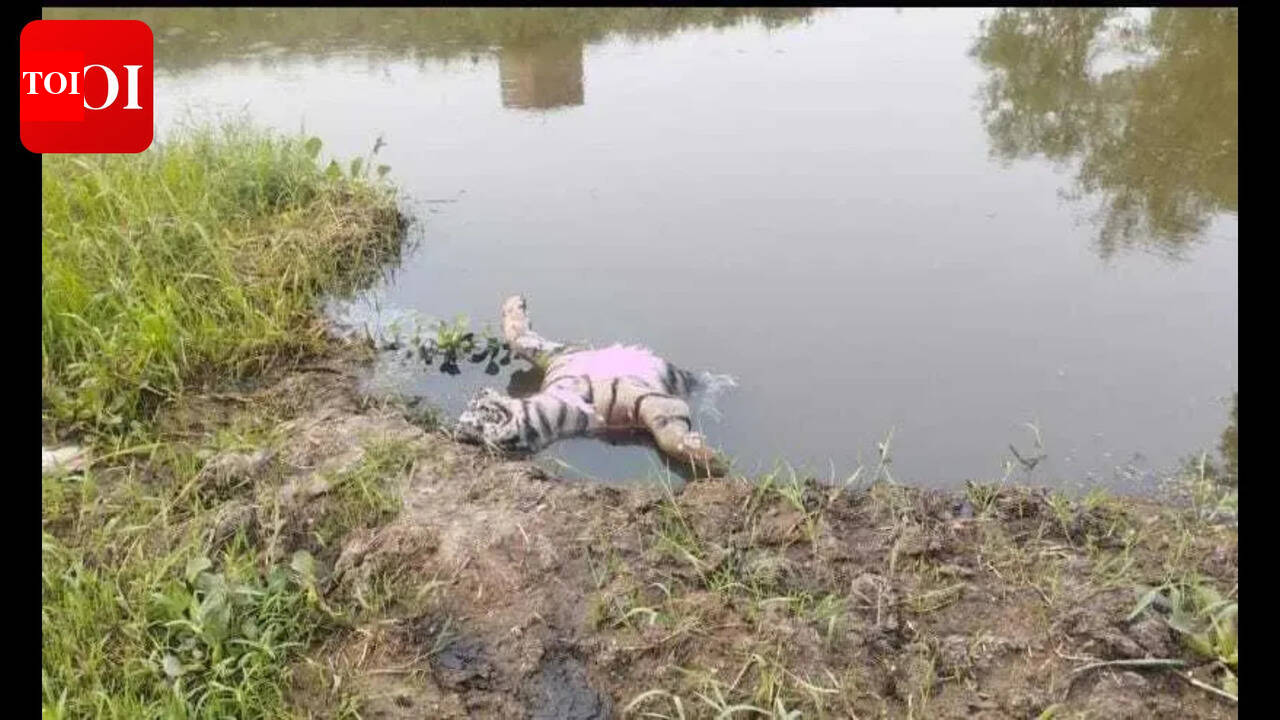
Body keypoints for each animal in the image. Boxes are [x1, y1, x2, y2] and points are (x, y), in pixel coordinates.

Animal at [454, 295, 729, 477]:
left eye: (476, 410)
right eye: (471, 435)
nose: (465, 427)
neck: (559, 398)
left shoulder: (557, 354)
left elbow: (520, 340)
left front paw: (513, 304)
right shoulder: (648, 404)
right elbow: (667, 436)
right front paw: (710, 458)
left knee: (709, 381)